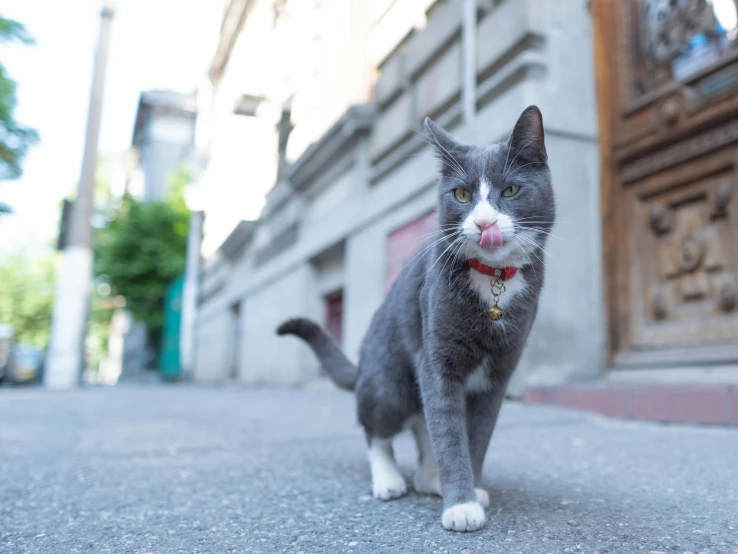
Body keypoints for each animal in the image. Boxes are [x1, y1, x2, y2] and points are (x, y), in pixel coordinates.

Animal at [276, 103, 552, 532]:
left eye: (510, 190)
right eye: (462, 194)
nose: (484, 222)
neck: (493, 283)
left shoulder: (499, 373)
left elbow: (475, 436)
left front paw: (470, 489)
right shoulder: (435, 357)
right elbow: (449, 434)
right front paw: (461, 505)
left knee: (425, 430)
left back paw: (431, 480)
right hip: (389, 382)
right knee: (377, 429)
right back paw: (390, 479)